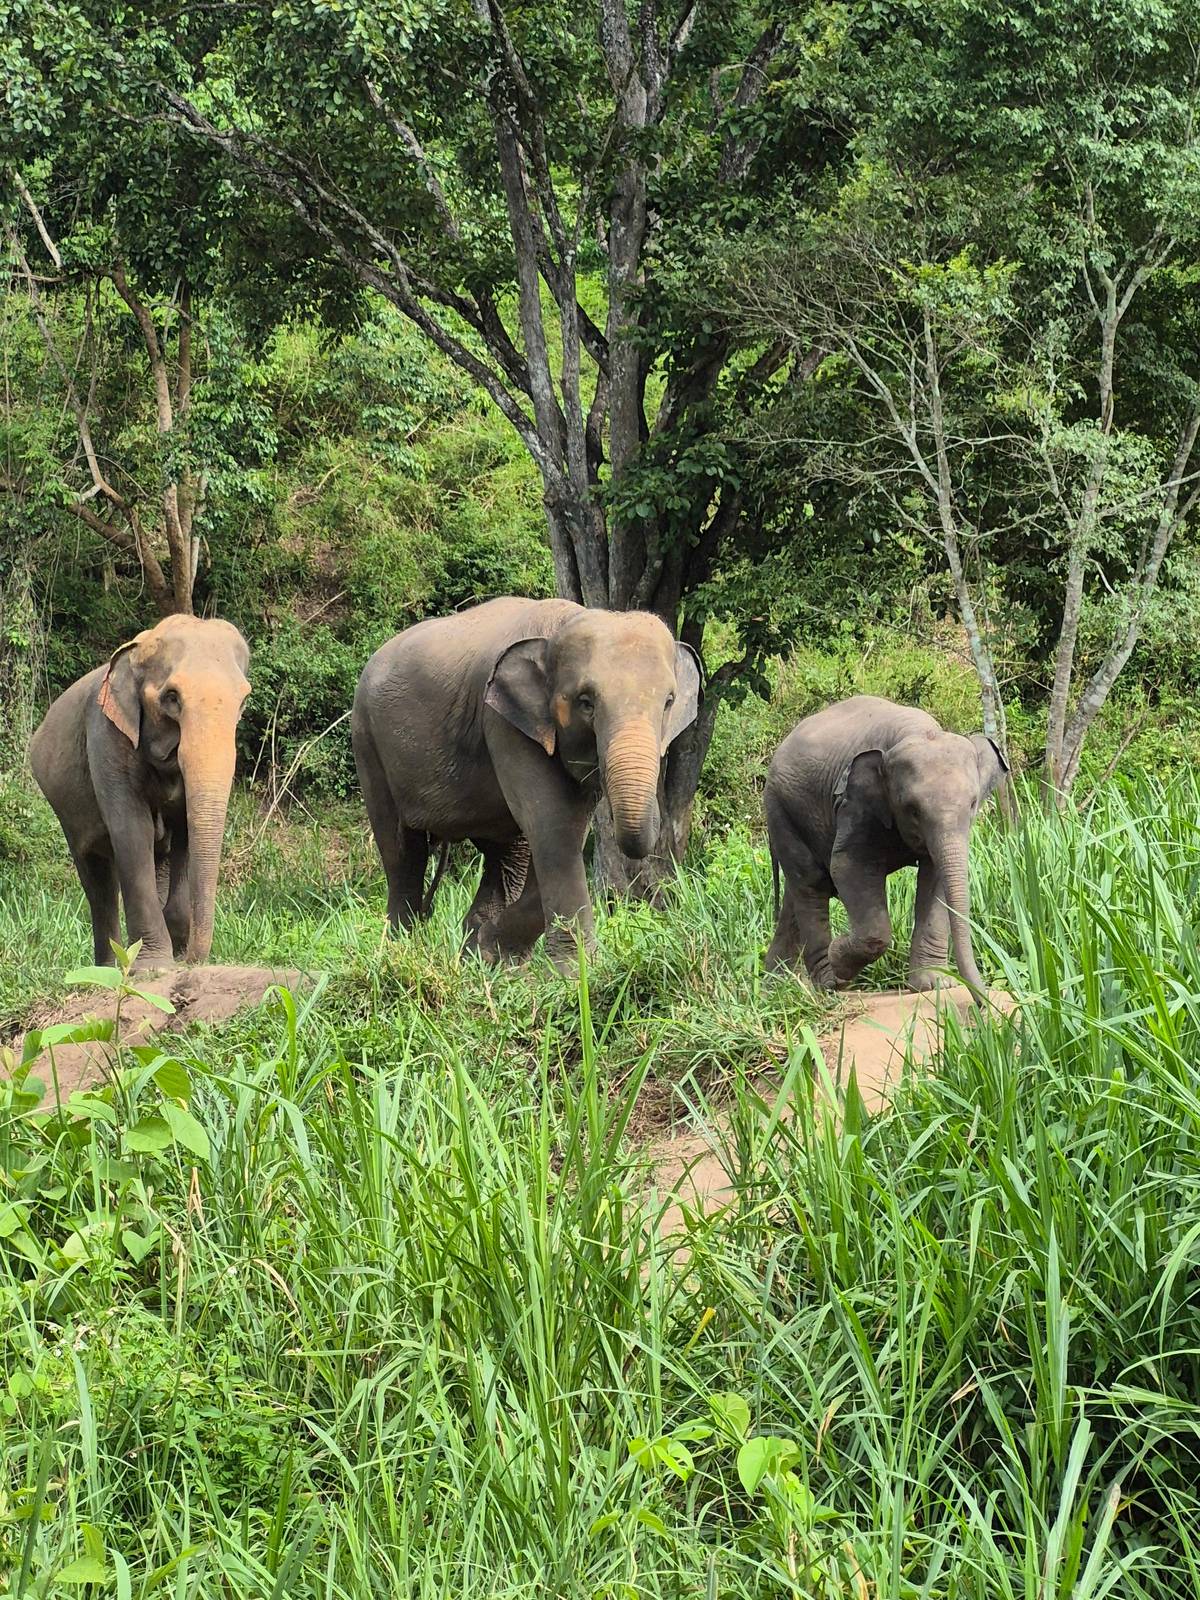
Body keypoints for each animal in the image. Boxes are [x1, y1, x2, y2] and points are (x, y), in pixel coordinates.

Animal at [29, 615, 251, 971]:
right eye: (172, 697)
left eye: (243, 700)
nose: (192, 961)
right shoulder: (106, 737)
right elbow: (133, 831)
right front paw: (155, 967)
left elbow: (185, 832)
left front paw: (175, 948)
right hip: (63, 808)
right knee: (97, 878)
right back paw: (108, 968)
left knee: (158, 858)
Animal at [351, 597, 700, 969]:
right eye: (586, 702)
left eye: (668, 702)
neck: (564, 623)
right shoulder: (505, 724)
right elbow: (555, 827)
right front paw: (573, 972)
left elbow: (566, 830)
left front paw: (493, 950)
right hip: (367, 742)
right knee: (403, 852)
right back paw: (402, 951)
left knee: (506, 855)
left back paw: (477, 955)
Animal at [763, 695, 1008, 998]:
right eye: (912, 809)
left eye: (973, 803)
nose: (982, 1003)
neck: (917, 731)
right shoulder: (855, 804)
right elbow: (846, 866)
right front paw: (839, 959)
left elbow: (935, 878)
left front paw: (934, 984)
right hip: (781, 809)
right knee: (812, 883)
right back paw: (828, 984)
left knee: (795, 893)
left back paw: (776, 988)